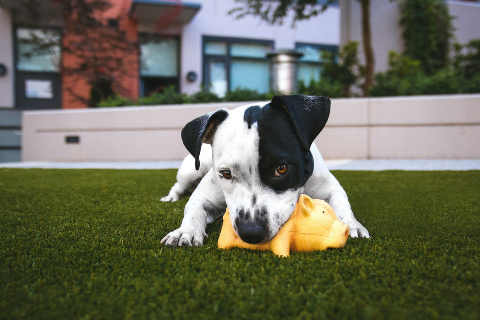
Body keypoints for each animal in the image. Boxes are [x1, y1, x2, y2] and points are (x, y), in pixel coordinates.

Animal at [161, 94, 372, 246]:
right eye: (226, 173)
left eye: (281, 169)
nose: (251, 232)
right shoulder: (203, 195)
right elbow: (193, 208)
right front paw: (185, 231)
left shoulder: (330, 187)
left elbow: (341, 203)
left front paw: (351, 224)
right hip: (191, 171)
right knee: (178, 185)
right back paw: (170, 198)